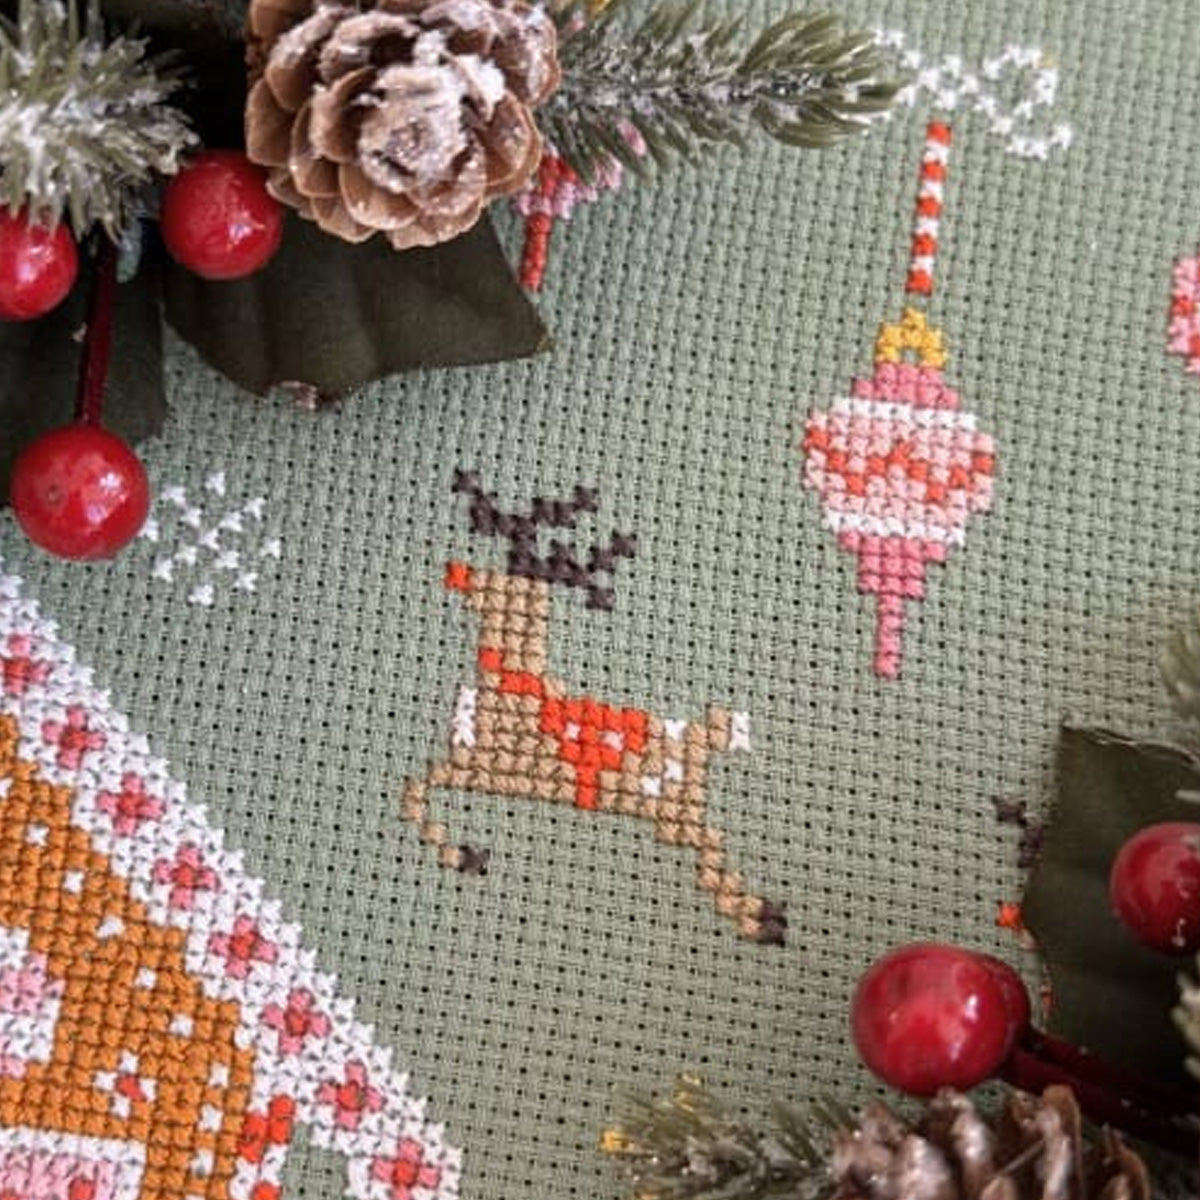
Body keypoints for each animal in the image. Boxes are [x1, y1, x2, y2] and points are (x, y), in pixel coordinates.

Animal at [401, 471, 787, 946]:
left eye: (497, 581)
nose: (456, 573)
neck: (514, 687)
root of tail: (701, 737)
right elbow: (420, 788)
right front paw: (464, 852)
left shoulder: (477, 767)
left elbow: (419, 790)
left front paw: (463, 853)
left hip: (675, 812)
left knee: (713, 852)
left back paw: (760, 920)